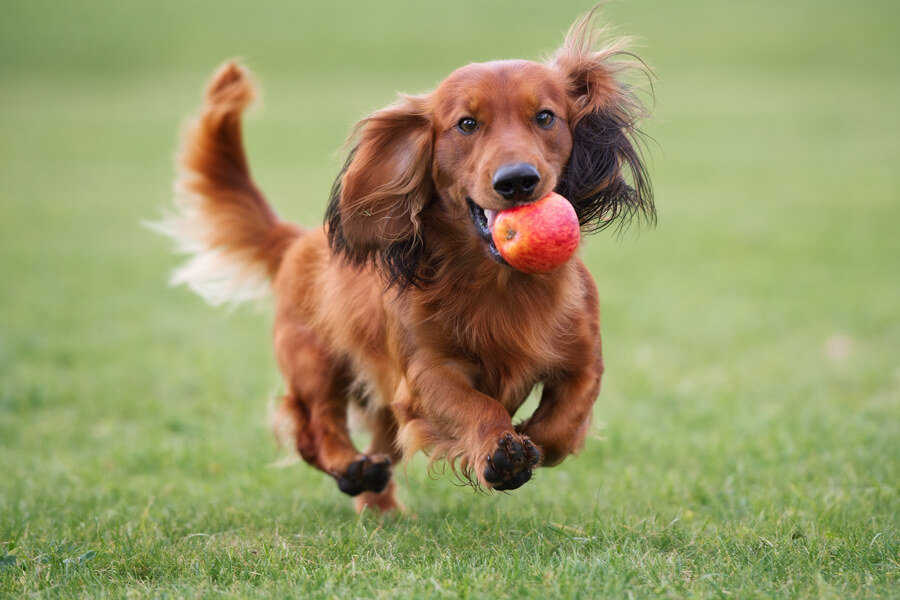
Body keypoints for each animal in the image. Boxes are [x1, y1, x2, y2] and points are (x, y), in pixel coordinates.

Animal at [158, 11, 652, 510]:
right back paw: (350, 467)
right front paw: (501, 451)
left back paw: (378, 500)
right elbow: (477, 405)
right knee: (314, 426)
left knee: (377, 443)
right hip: (314, 360)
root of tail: (296, 239)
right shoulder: (426, 373)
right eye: (467, 124)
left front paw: (528, 436)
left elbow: (561, 425)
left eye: (546, 117)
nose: (517, 181)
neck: (499, 283)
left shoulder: (585, 359)